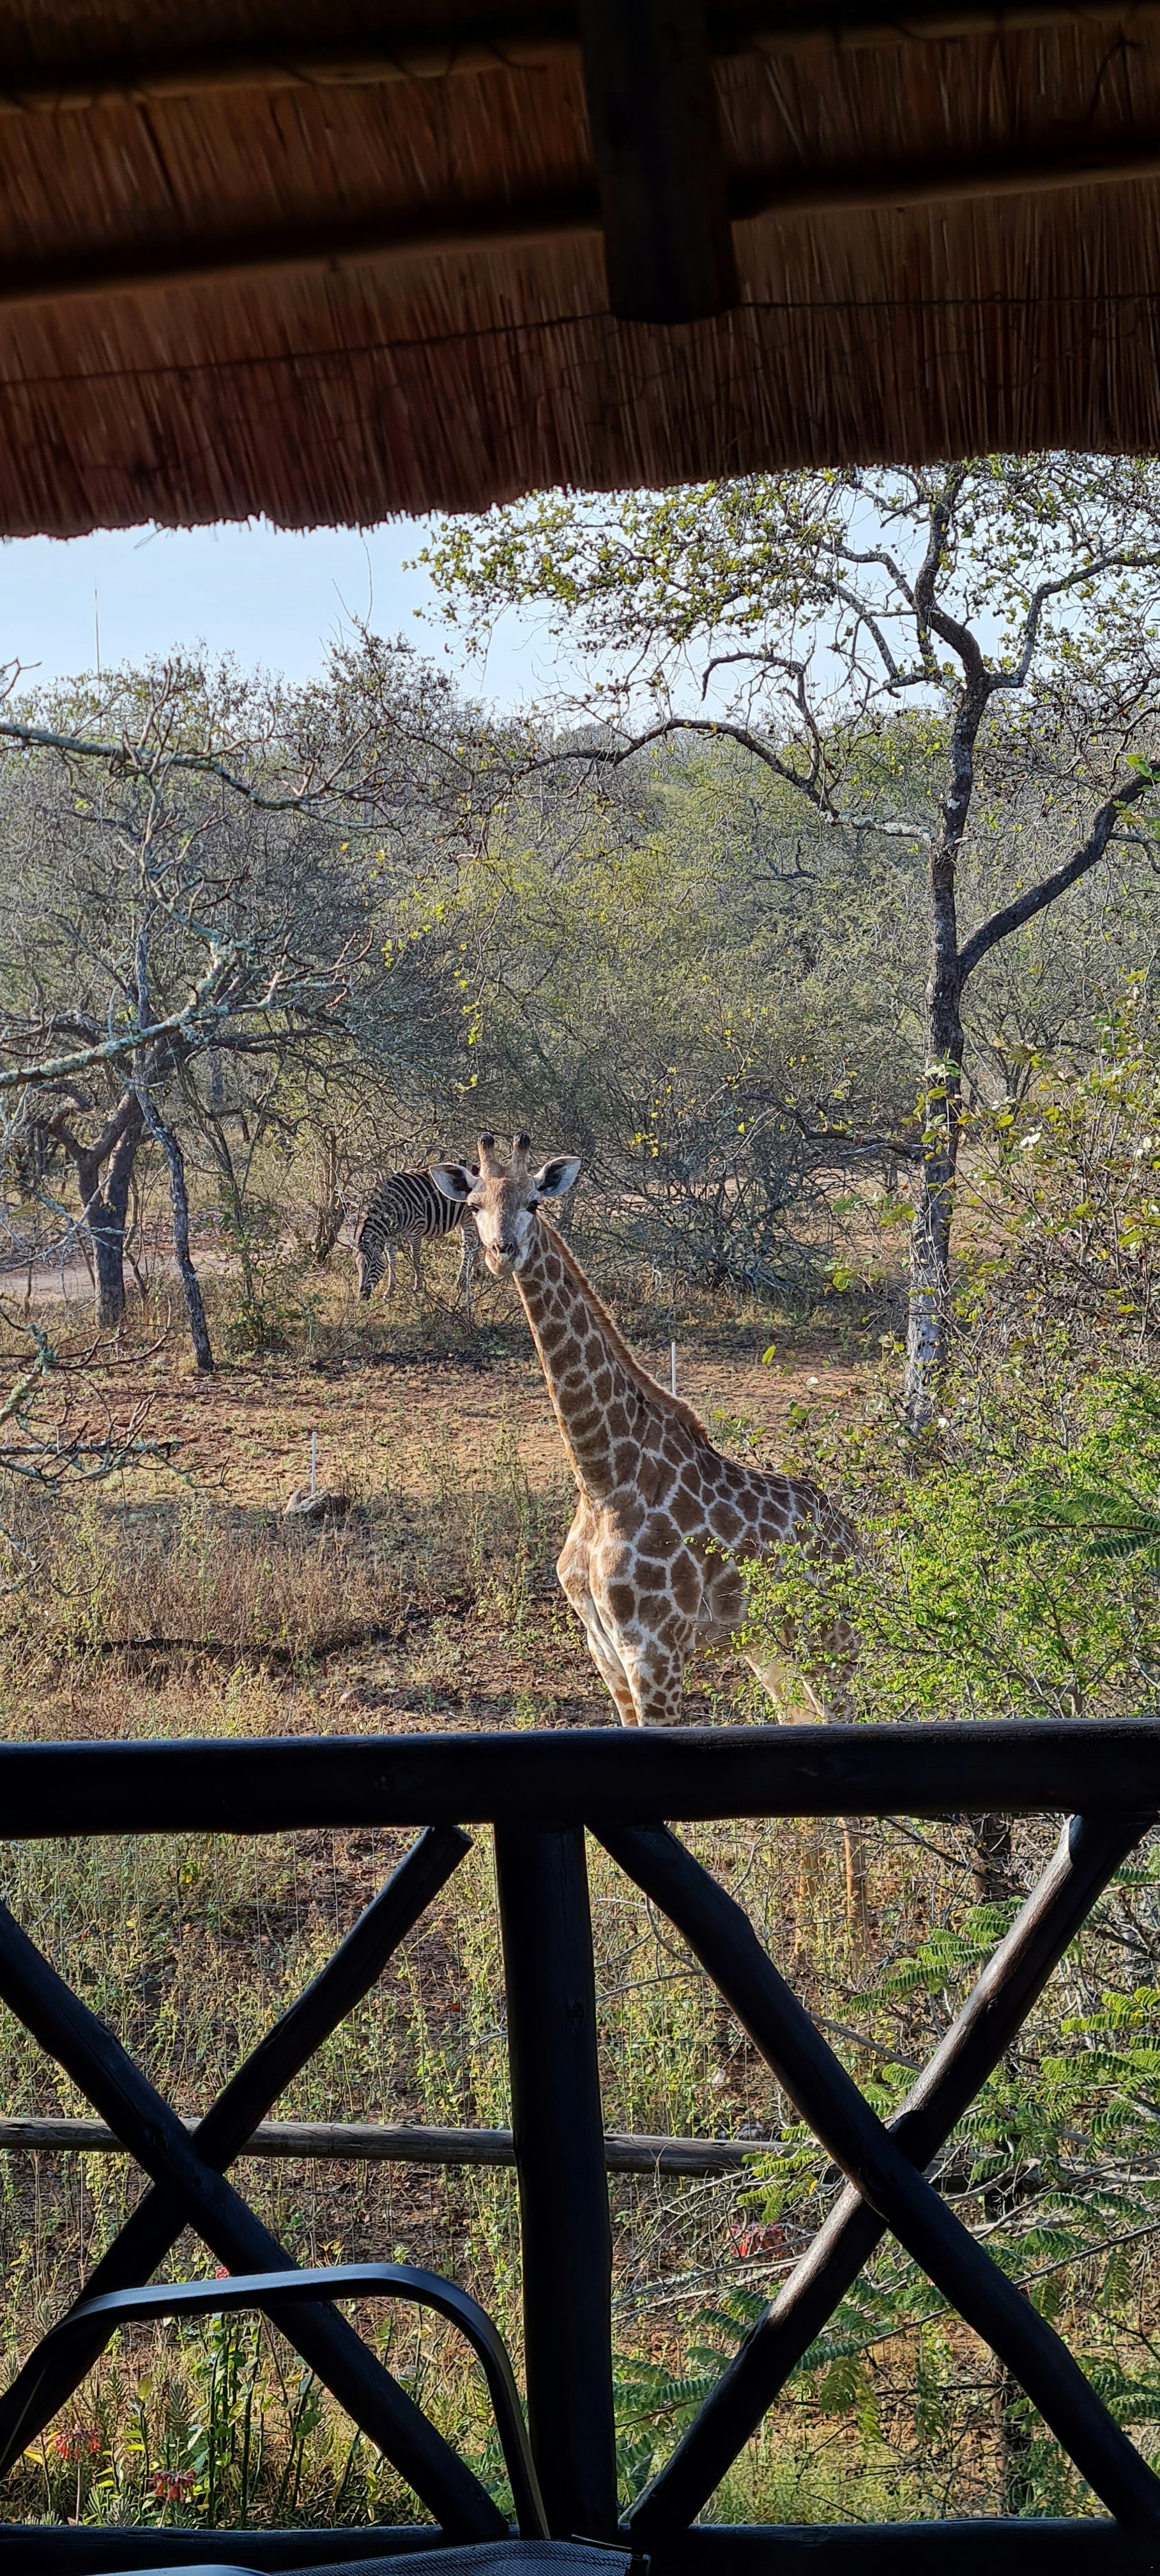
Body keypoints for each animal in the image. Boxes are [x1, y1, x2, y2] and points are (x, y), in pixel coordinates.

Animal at [355, 1164, 480, 1318]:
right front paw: (390, 1290)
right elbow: (391, 1261)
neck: (394, 1208)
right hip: (463, 1219)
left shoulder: (415, 1232)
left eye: (372, 1265)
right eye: (358, 1267)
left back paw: (461, 1280)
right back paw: (473, 1272)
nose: (361, 1297)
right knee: (476, 1243)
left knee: (468, 1247)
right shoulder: (391, 1237)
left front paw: (418, 1288)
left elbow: (415, 1260)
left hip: (468, 1217)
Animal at [432, 1135, 865, 1924]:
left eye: (535, 1201)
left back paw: (856, 1928)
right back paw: (812, 1910)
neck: (604, 1479)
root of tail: (855, 1541)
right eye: (474, 1204)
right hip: (772, 1648)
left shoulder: (656, 1650)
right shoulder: (605, 1650)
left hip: (833, 1640)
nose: (502, 1252)